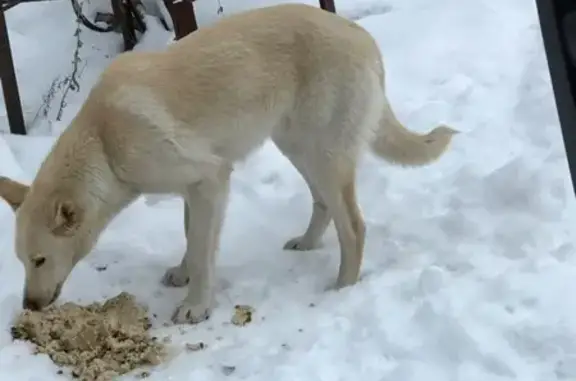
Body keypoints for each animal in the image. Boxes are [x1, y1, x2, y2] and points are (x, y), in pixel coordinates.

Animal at [1, 2, 460, 324]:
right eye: (22, 262)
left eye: (40, 260)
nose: (30, 305)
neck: (104, 144)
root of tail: (362, 35)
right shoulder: (193, 190)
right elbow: (192, 240)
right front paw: (183, 274)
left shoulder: (210, 180)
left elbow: (204, 250)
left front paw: (196, 306)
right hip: (297, 146)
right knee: (324, 205)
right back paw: (307, 243)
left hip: (323, 155)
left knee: (354, 227)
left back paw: (343, 287)